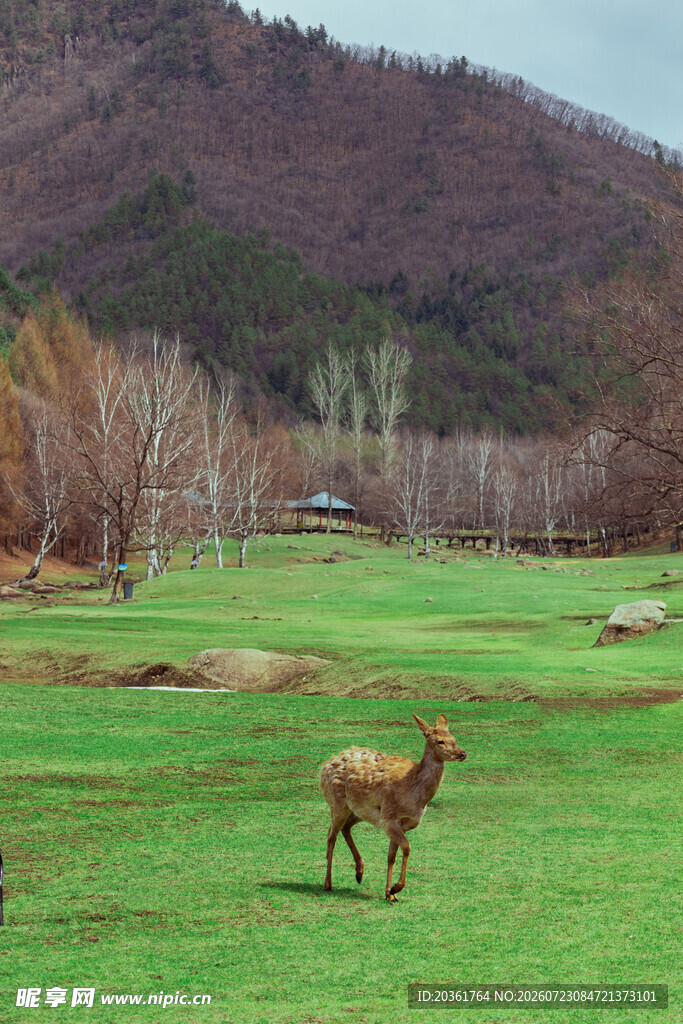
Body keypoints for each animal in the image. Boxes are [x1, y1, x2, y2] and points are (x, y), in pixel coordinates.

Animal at [319, 713, 467, 902]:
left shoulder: (400, 822)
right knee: (331, 836)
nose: (463, 753)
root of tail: (325, 765)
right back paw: (328, 883)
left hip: (359, 811)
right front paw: (396, 888)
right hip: (337, 803)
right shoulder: (389, 817)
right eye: (440, 741)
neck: (415, 794)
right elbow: (407, 847)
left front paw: (390, 893)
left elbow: (391, 856)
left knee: (345, 828)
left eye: (454, 738)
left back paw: (359, 873)